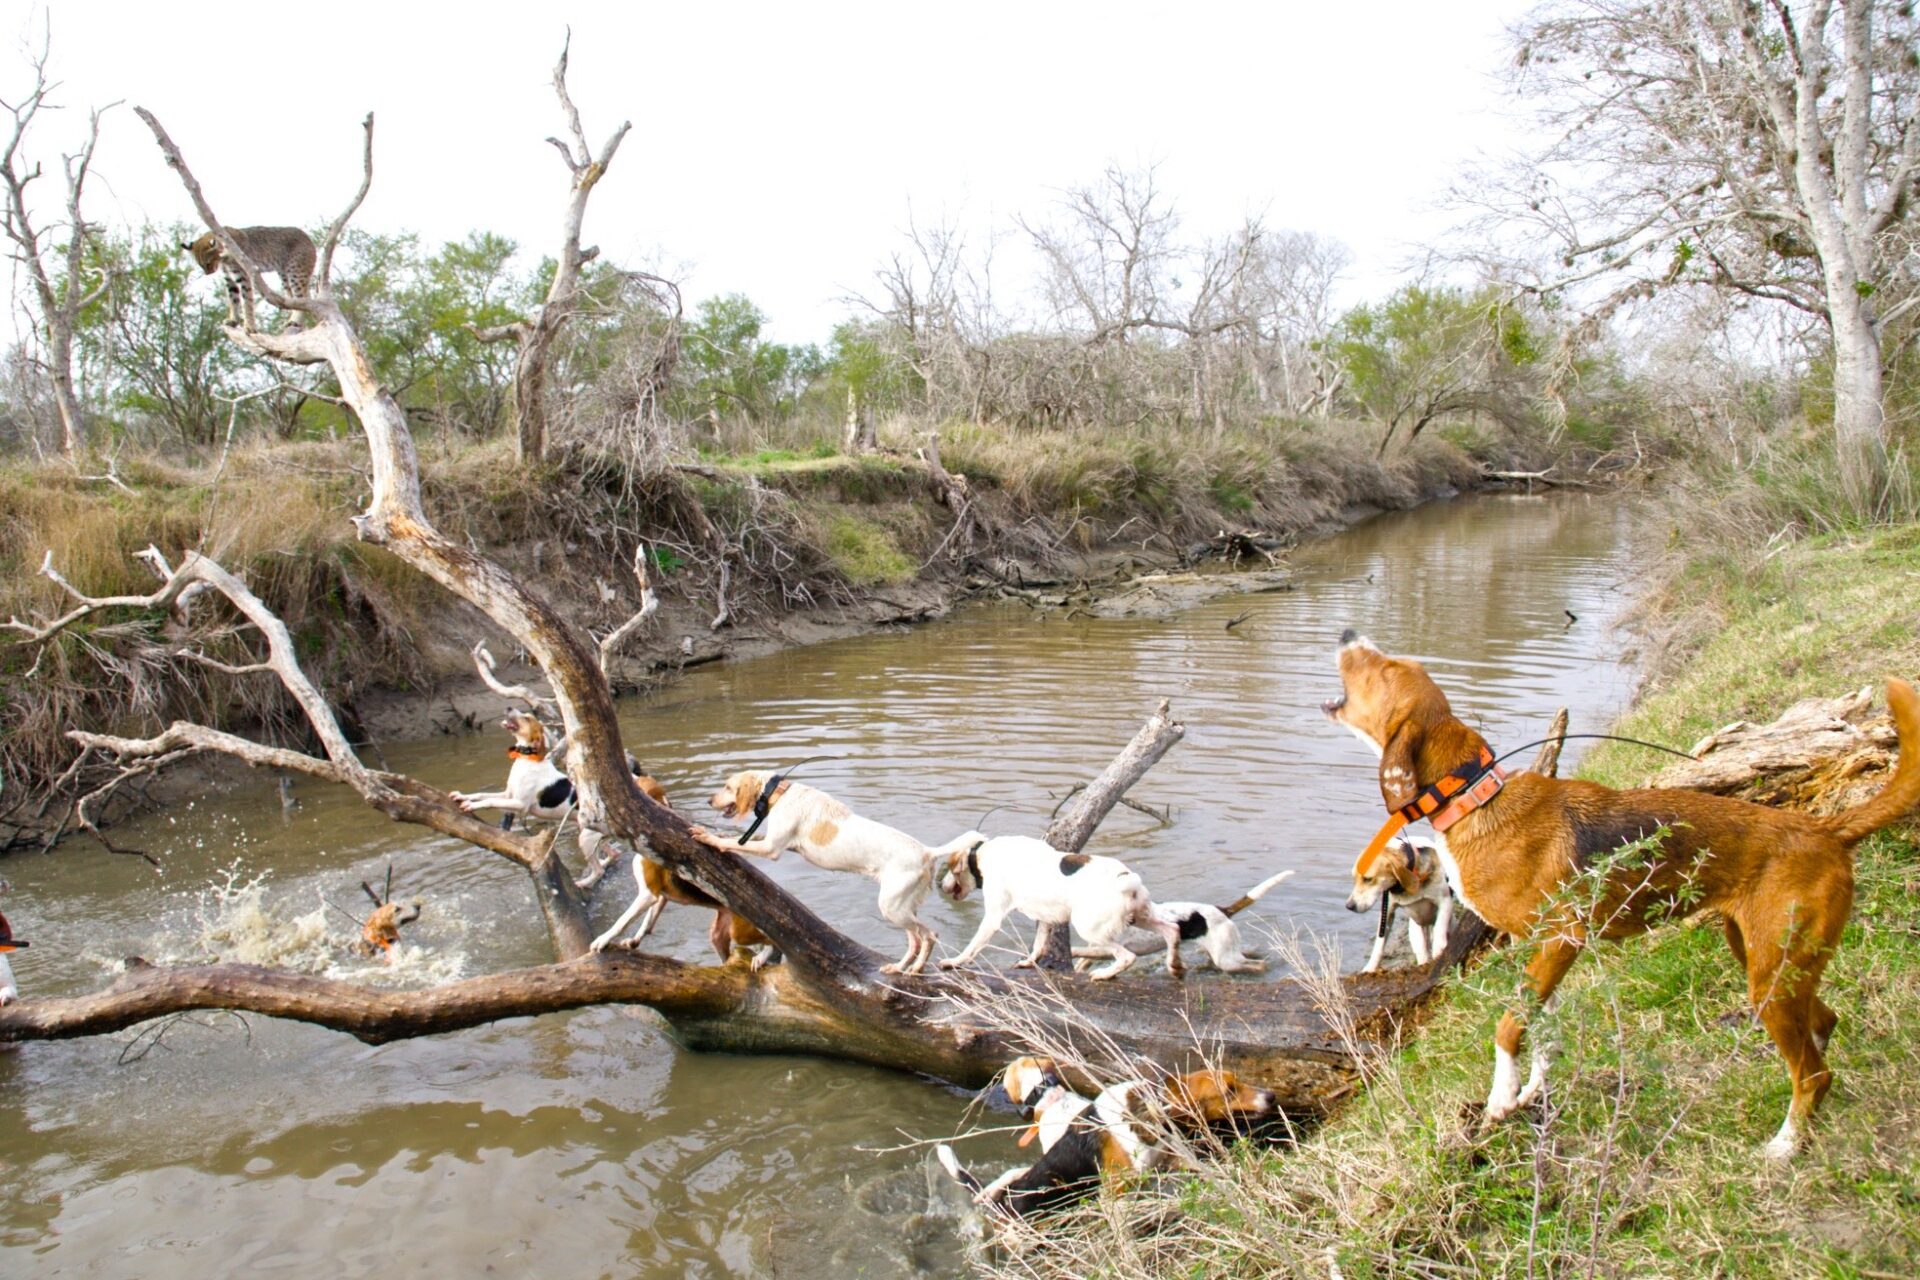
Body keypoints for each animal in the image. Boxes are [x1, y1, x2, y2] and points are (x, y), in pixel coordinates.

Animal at [1320, 629, 1920, 1159]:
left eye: (1385, 668)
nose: (1347, 634)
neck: (1474, 797)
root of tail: (1827, 829)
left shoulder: (1562, 938)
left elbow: (1509, 1027)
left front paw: (1500, 1099)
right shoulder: (1534, 947)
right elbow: (1544, 1031)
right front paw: (1530, 1093)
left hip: (1770, 977)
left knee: (1813, 1074)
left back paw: (1785, 1146)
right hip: (1766, 959)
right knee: (1825, 1027)